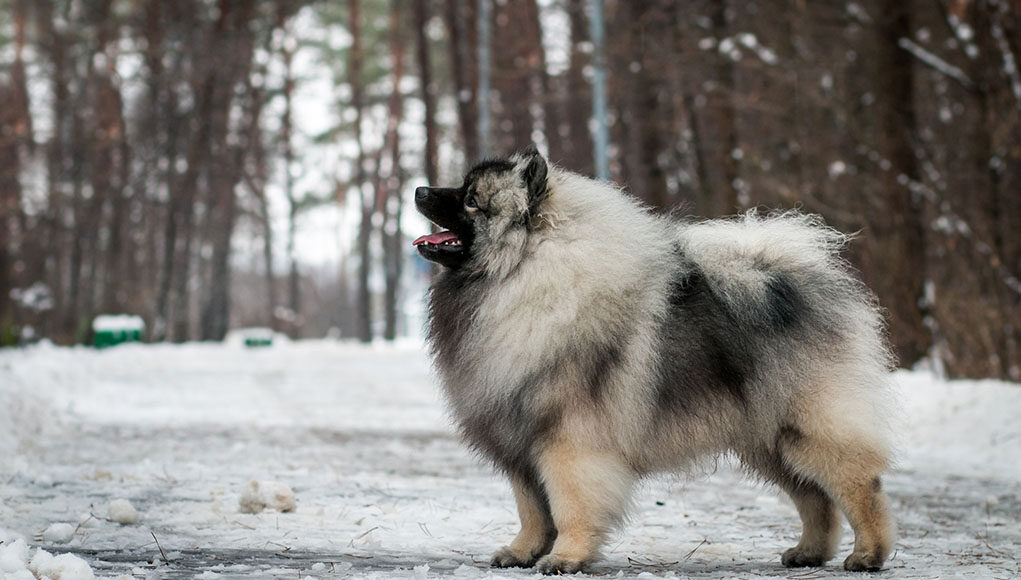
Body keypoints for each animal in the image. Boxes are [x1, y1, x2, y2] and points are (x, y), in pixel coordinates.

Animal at [412, 146, 894, 575]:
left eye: (471, 199)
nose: (419, 189)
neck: (521, 272)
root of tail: (789, 279)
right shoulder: (519, 440)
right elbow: (531, 509)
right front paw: (522, 551)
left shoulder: (568, 443)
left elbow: (568, 507)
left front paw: (565, 557)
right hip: (771, 438)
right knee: (815, 499)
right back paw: (809, 552)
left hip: (808, 429)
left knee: (858, 486)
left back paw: (868, 555)